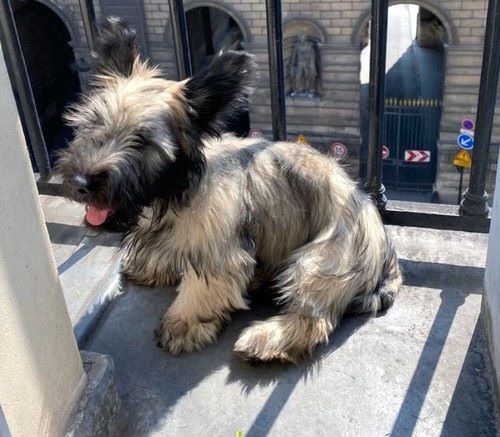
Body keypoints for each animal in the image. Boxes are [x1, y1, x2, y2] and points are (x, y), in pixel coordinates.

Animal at [56, 17, 402, 363]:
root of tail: (384, 259)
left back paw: (266, 340)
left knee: (311, 319)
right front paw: (153, 267)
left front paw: (183, 322)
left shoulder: (218, 252)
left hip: (319, 262)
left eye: (142, 142)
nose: (80, 183)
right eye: (91, 123)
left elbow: (202, 285)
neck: (174, 190)